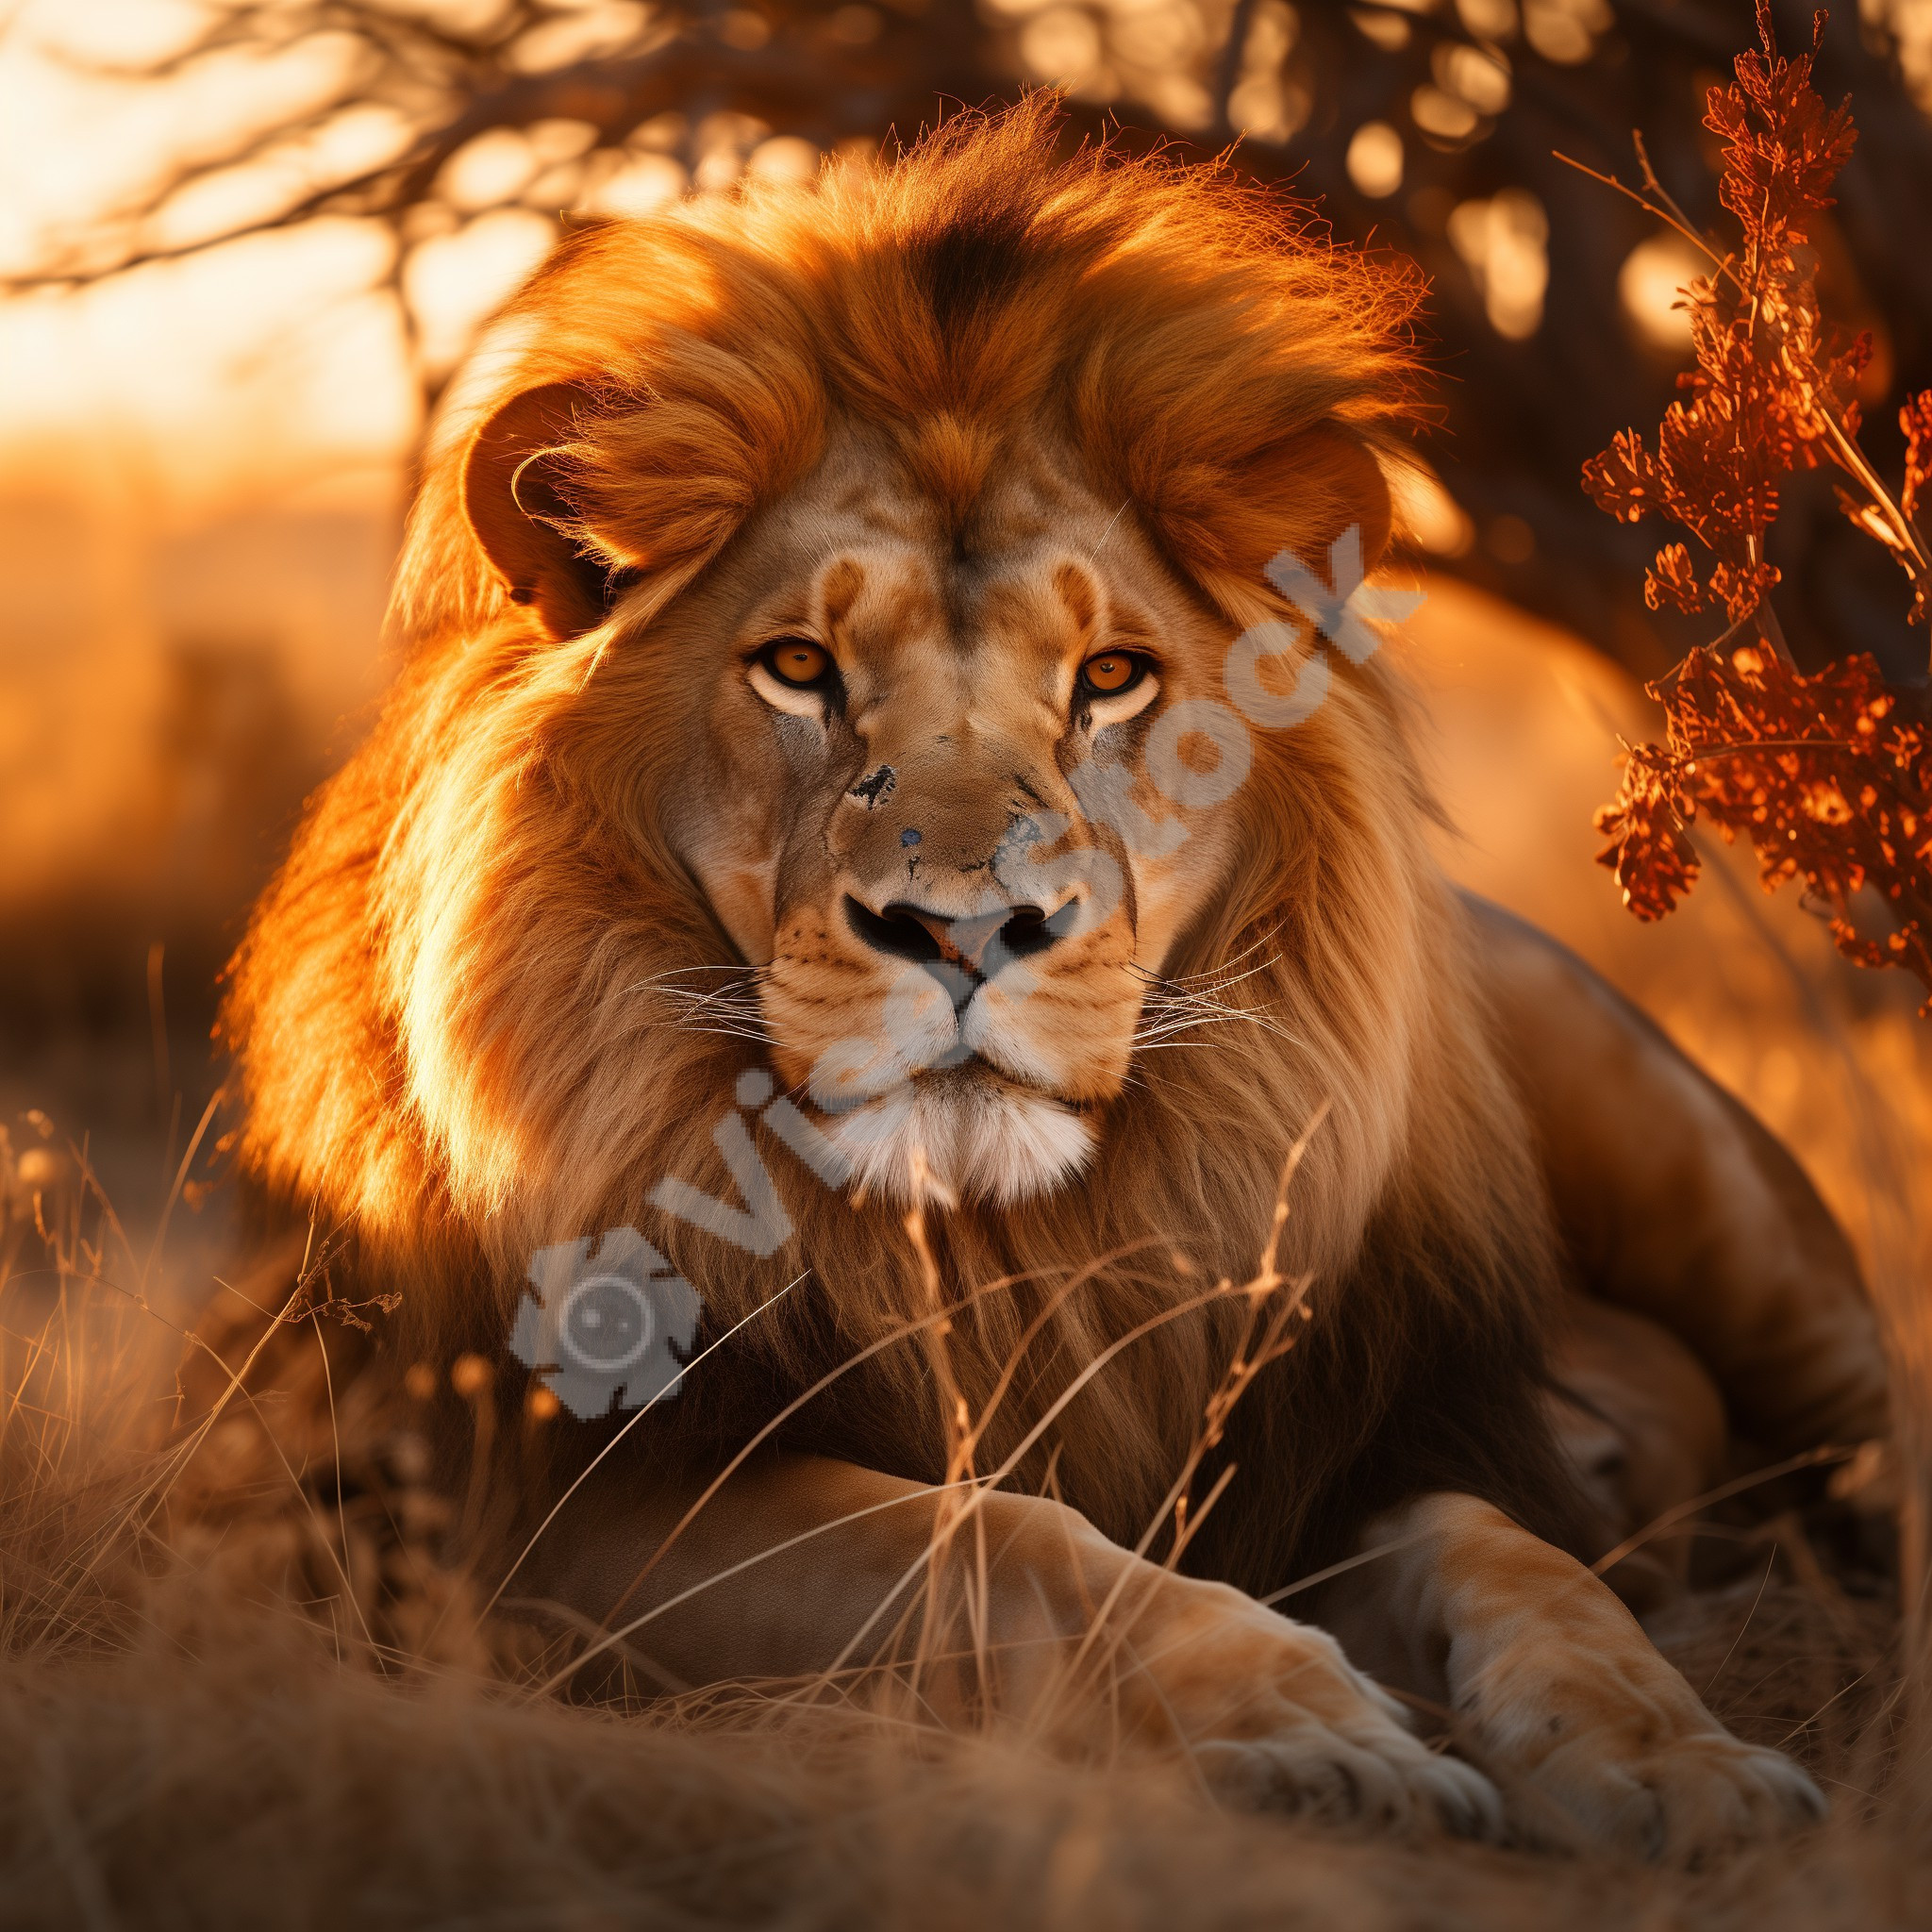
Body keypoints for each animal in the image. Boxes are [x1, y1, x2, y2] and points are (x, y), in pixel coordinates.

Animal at [221, 104, 1890, 1858]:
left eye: (1111, 679)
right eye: (799, 669)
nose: (967, 931)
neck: (1011, 1253)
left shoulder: (1326, 1451)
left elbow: (1520, 1551)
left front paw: (1669, 1753)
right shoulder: (549, 1510)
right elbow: (982, 1534)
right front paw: (1310, 1726)